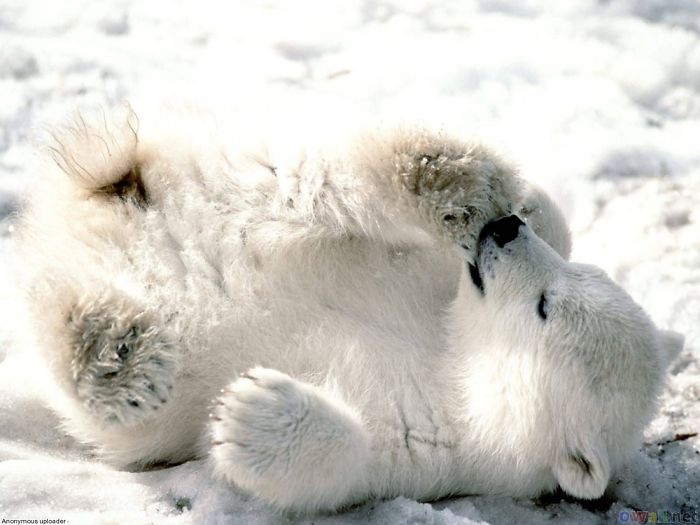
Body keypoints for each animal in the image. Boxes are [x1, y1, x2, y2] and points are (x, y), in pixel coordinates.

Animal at [13, 107, 683, 514]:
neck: (452, 354)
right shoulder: (431, 279)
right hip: (238, 189)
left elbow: (345, 464)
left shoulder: (440, 448)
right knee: (316, 185)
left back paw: (114, 354)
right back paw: (450, 177)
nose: (504, 231)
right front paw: (518, 204)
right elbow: (548, 224)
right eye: (578, 278)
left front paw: (249, 412)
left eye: (546, 307)